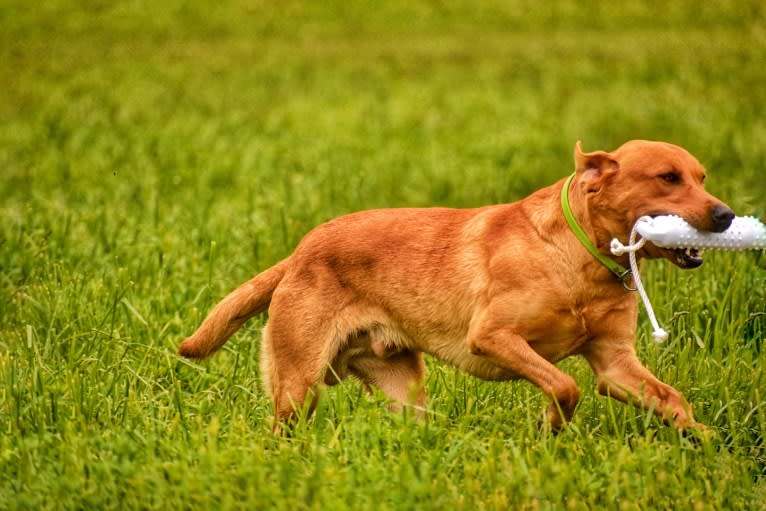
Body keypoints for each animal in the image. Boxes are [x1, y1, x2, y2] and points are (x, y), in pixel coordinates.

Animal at [180, 141, 736, 432]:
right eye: (667, 177)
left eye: (702, 177)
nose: (726, 215)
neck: (581, 259)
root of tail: (301, 250)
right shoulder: (492, 336)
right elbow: (564, 384)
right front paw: (550, 428)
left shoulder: (617, 365)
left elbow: (672, 401)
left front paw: (703, 440)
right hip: (298, 385)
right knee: (283, 429)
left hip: (404, 390)